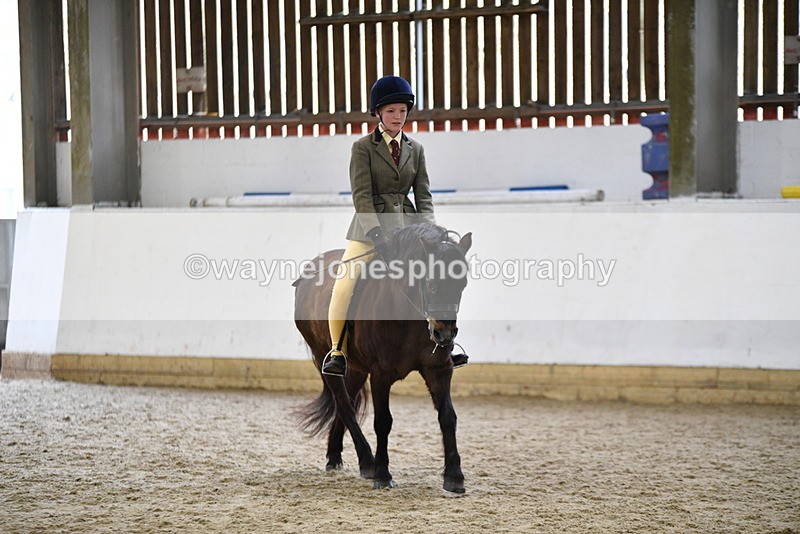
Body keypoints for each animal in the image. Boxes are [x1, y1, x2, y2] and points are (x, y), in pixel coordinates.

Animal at [293, 223, 473, 493]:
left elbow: (448, 417)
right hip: (323, 355)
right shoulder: (381, 374)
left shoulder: (438, 369)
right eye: (431, 284)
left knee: (346, 402)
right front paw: (382, 474)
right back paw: (368, 462)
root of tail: (308, 272)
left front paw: (454, 476)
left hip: (355, 369)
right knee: (344, 404)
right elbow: (383, 422)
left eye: (462, 285)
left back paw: (335, 457)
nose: (444, 335)